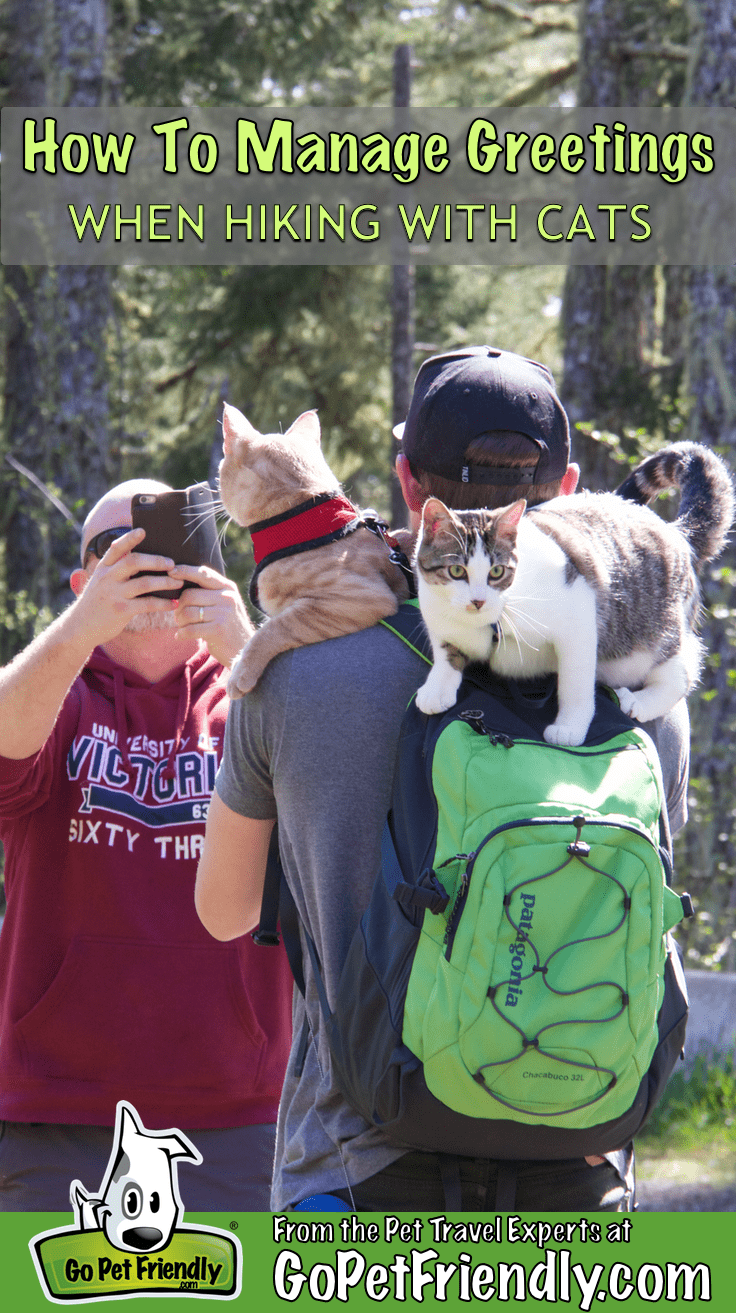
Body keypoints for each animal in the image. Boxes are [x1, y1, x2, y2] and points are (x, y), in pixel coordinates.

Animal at [417, 443, 729, 745]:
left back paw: (640, 701)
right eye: (456, 571)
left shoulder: (577, 613)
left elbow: (574, 682)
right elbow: (446, 653)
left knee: (681, 670)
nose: (478, 600)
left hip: (655, 634)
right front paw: (436, 687)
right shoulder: (438, 617)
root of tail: (675, 532)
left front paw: (569, 728)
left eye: (497, 572)